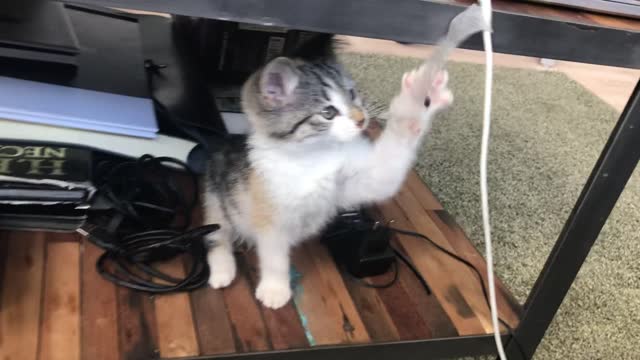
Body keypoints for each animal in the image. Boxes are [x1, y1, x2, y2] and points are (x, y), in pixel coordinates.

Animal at [204, 35, 450, 308]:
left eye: (352, 94)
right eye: (328, 112)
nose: (361, 120)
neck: (315, 156)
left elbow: (385, 172)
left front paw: (419, 97)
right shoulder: (269, 211)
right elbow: (274, 255)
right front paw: (275, 289)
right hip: (215, 198)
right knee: (216, 235)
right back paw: (222, 271)